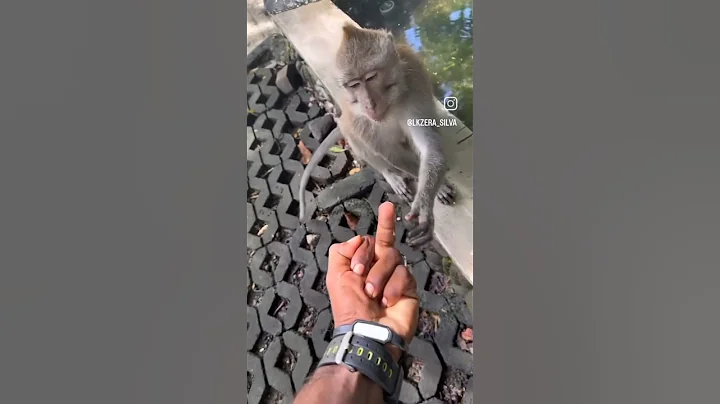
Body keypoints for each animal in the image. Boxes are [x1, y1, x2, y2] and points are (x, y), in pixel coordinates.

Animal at [298, 23, 454, 247]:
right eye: (353, 84)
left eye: (371, 77)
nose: (368, 104)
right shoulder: (359, 117)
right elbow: (387, 151)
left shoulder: (415, 87)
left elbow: (427, 142)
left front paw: (428, 197)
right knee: (359, 142)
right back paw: (391, 174)